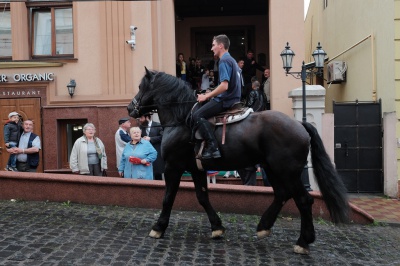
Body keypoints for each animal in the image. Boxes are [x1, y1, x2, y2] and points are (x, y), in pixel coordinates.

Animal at [126, 67, 348, 255]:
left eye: (141, 87)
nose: (129, 108)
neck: (181, 119)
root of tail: (300, 125)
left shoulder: (173, 167)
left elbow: (168, 197)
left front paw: (158, 228)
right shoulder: (196, 169)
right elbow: (202, 197)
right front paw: (217, 227)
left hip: (288, 172)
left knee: (303, 200)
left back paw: (303, 241)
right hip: (273, 169)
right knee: (281, 194)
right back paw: (264, 226)